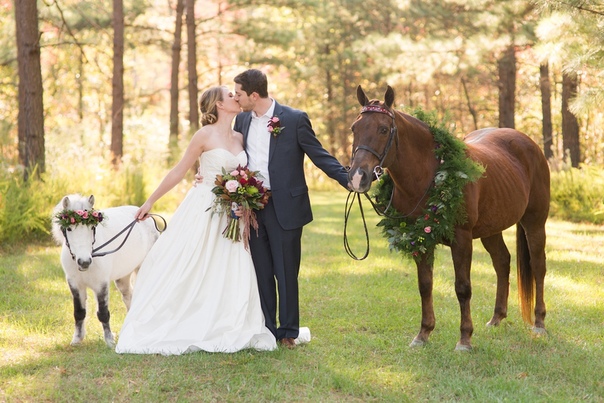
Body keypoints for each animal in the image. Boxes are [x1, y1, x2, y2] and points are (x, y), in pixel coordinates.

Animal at [52, 195, 160, 348]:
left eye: (92, 227)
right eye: (69, 229)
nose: (84, 262)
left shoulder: (101, 284)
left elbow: (103, 313)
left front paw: (109, 341)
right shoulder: (75, 284)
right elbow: (79, 312)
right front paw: (77, 339)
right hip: (123, 277)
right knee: (128, 296)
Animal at [350, 85, 552, 350]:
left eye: (383, 129)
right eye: (354, 128)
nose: (357, 176)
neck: (430, 174)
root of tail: (529, 144)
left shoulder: (462, 240)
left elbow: (463, 288)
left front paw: (465, 339)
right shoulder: (419, 238)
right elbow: (425, 285)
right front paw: (423, 333)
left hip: (535, 223)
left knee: (538, 266)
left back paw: (539, 323)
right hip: (491, 229)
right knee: (502, 262)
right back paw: (496, 318)